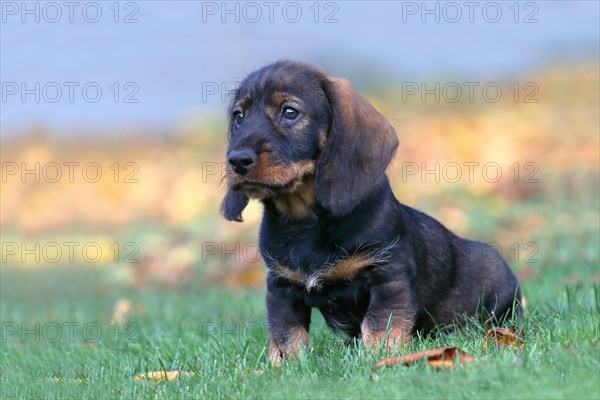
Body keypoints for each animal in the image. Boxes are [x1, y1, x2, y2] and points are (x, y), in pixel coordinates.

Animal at [220, 61, 520, 364]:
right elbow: (286, 333)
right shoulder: (281, 287)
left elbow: (379, 323)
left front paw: (380, 356)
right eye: (238, 116)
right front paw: (284, 364)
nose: (237, 160)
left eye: (290, 112)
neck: (305, 220)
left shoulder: (387, 277)